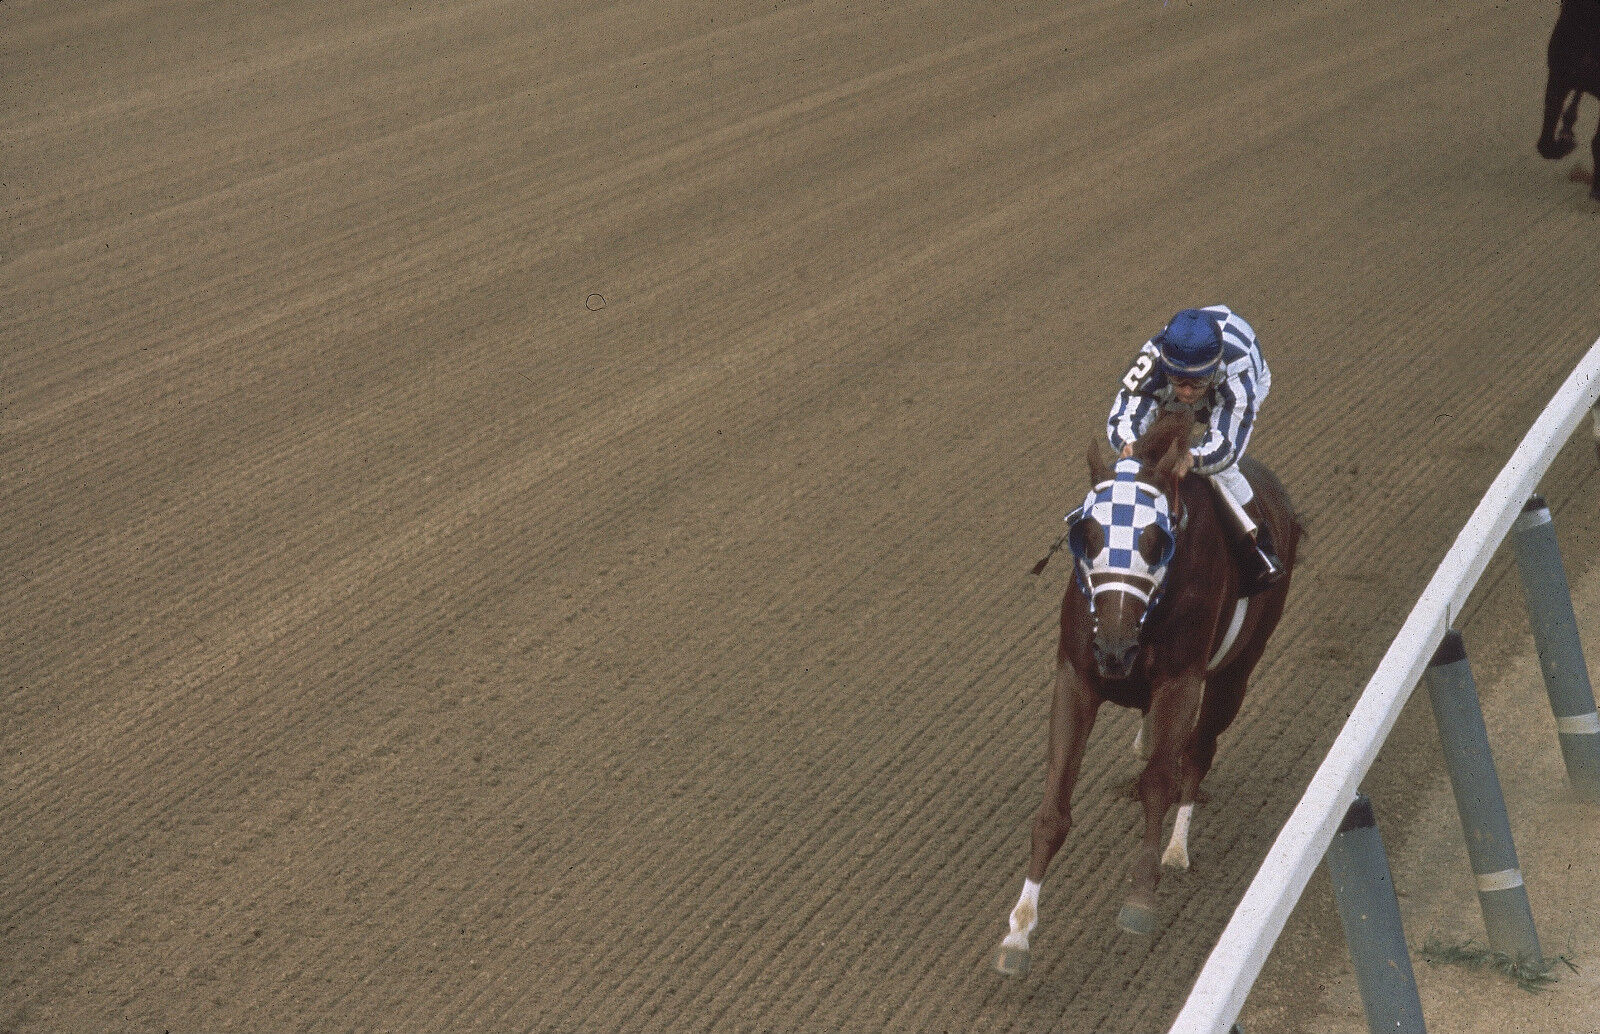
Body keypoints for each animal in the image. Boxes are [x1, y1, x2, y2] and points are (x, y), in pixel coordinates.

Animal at [998, 409, 1299, 979]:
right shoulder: (1076, 678)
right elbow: (1053, 808)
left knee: (1198, 751)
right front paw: (1018, 933)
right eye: (1087, 535)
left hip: (1235, 671)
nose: (1116, 648)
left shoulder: (1179, 681)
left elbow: (1159, 782)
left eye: (1157, 541)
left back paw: (1177, 847)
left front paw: (1140, 899)